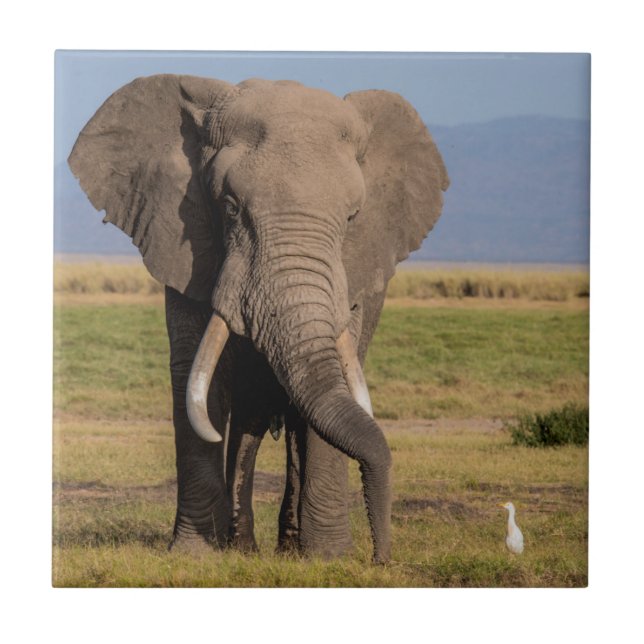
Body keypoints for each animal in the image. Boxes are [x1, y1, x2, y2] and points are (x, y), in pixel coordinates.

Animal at [69, 75, 448, 564]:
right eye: (230, 207)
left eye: (352, 217)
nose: (382, 557)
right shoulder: (187, 246)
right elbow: (197, 379)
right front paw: (195, 556)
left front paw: (329, 559)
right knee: (245, 420)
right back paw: (245, 547)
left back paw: (288, 549)